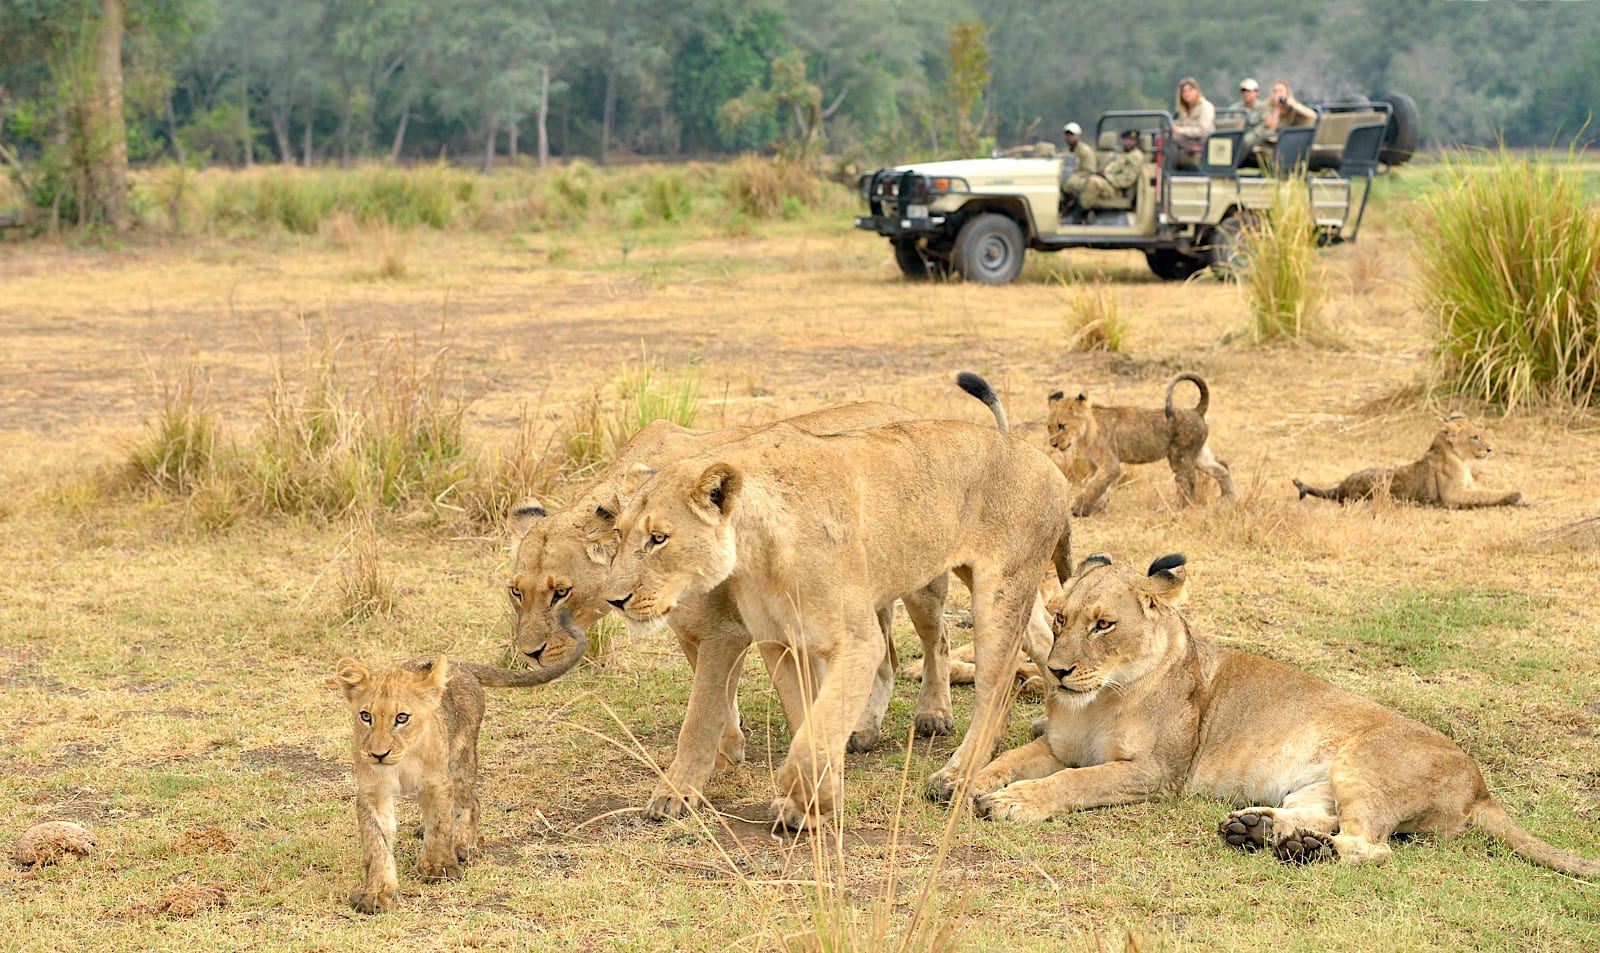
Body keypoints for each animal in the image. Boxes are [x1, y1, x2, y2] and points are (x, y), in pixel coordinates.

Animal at [331, 619, 587, 914]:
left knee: (470, 802)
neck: (403, 760)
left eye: (402, 718)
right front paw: (377, 892)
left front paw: (437, 867)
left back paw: (461, 845)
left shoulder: (437, 782)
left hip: (460, 758)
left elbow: (440, 825)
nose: (378, 754)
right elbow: (377, 843)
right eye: (366, 716)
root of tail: (460, 665)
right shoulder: (373, 791)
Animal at [601, 418, 1074, 830]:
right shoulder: (780, 642)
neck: (755, 551)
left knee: (996, 689)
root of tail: (1050, 464)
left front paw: (808, 794)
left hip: (997, 591)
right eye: (618, 533)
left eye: (659, 538)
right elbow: (805, 719)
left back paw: (954, 776)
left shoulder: (858, 641)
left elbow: (815, 733)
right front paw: (812, 803)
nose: (615, 599)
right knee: (1042, 638)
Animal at [971, 553, 1600, 876]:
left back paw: (1296, 849)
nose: (1056, 671)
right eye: (1059, 618)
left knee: (1371, 844)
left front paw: (1012, 803)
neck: (1100, 697)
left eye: (1104, 624)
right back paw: (1256, 829)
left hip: (1362, 764)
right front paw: (966, 784)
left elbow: (1075, 783)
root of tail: (1481, 786)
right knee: (1326, 817)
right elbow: (1009, 758)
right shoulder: (1057, 746)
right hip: (1316, 785)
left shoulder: (1155, 773)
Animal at [1047, 372, 1234, 516]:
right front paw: (1099, 509)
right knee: (1221, 468)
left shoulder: (1110, 463)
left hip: (1180, 455)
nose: (1053, 444)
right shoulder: (1095, 465)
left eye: (1062, 425)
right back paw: (1229, 499)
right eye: (1049, 426)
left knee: (1187, 481)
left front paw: (1078, 509)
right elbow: (1097, 485)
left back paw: (1176, 509)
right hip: (1198, 456)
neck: (1085, 432)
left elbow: (1094, 486)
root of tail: (1197, 410)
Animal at [1293, 415, 1523, 509]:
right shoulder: (1453, 495)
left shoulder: (1468, 487)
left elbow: (1486, 490)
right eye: (1475, 437)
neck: (1462, 459)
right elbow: (1486, 494)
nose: (1490, 449)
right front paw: (1515, 495)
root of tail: (1340, 487)